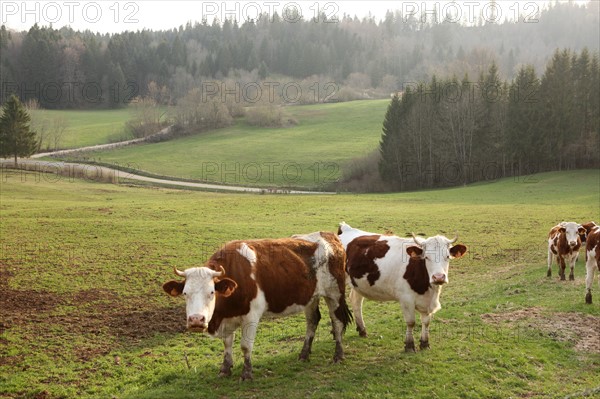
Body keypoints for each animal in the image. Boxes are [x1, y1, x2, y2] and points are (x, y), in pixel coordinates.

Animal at [164, 233, 352, 382]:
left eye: (211, 292)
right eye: (185, 293)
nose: (196, 320)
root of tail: (330, 236)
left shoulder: (251, 316)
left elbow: (245, 346)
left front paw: (246, 374)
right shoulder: (228, 317)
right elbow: (227, 343)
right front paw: (225, 368)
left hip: (334, 294)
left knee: (337, 323)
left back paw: (338, 355)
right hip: (311, 297)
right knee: (312, 321)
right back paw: (304, 354)